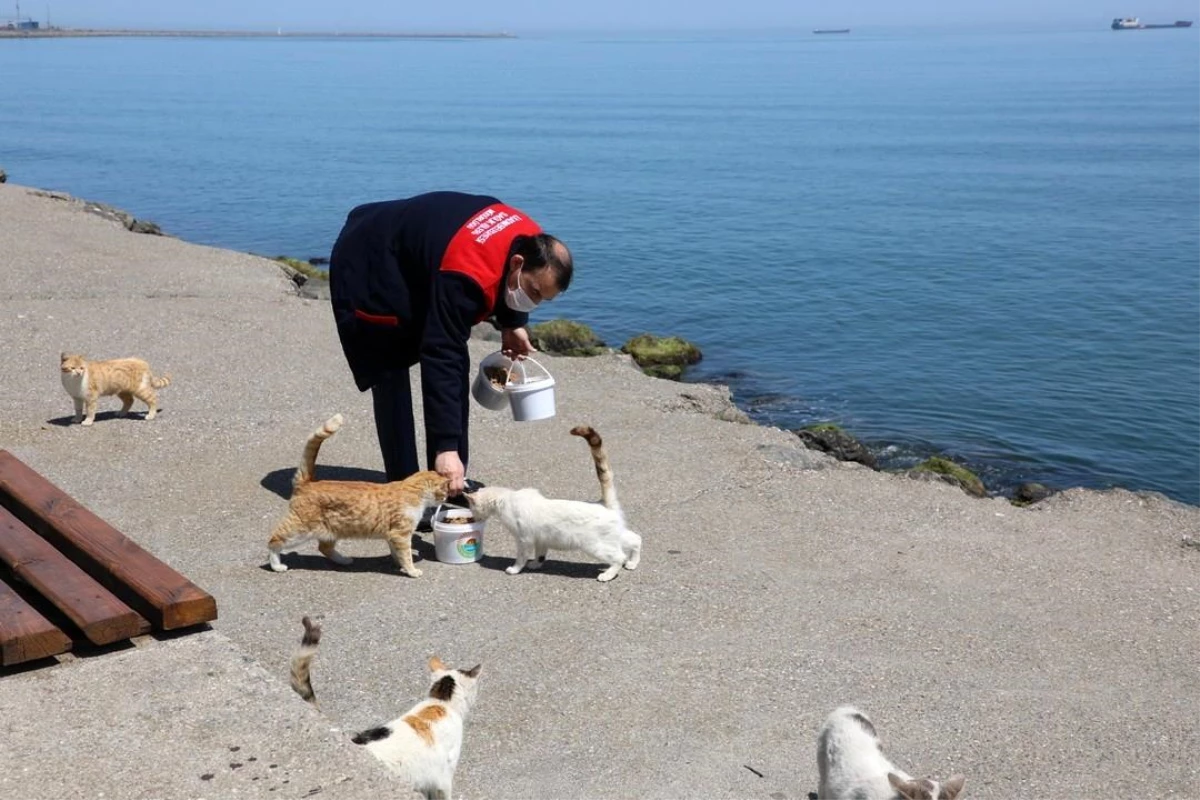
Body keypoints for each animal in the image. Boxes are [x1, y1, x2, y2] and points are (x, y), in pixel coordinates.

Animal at [266, 417, 451, 578]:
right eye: (445, 491)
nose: (445, 499)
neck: (412, 490)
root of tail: (307, 482)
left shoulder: (392, 535)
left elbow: (397, 553)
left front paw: (401, 566)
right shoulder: (400, 534)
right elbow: (406, 555)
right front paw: (411, 570)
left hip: (333, 530)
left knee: (324, 547)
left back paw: (343, 560)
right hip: (299, 530)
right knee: (274, 541)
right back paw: (277, 565)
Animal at [463, 424, 643, 582]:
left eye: (471, 507)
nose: (473, 517)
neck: (506, 497)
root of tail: (602, 503)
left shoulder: (524, 539)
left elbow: (521, 557)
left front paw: (515, 569)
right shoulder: (541, 538)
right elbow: (541, 553)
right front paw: (536, 564)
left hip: (595, 545)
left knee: (619, 557)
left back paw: (608, 575)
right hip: (615, 536)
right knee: (636, 539)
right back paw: (633, 563)